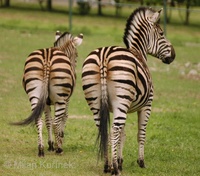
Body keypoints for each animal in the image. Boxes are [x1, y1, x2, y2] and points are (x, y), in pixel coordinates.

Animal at [81, 6, 175, 175]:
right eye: (161, 33)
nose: (174, 55)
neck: (139, 52)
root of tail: (104, 54)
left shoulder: (120, 108)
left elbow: (122, 135)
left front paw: (119, 161)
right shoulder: (147, 106)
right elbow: (140, 133)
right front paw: (140, 162)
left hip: (97, 102)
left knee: (105, 130)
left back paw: (107, 165)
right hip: (121, 101)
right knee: (114, 130)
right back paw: (114, 168)